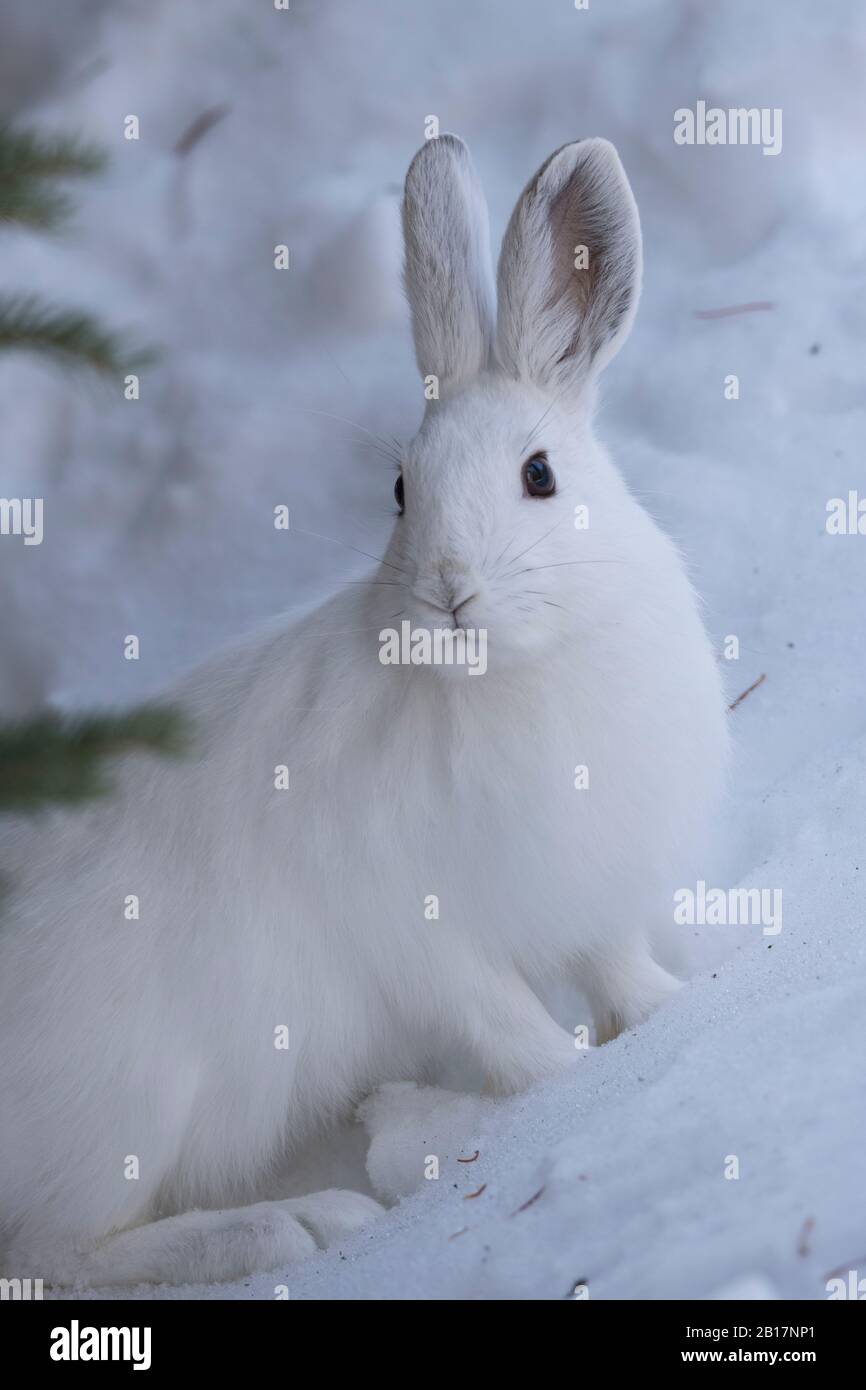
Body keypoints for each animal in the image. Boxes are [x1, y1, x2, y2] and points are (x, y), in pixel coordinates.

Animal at [0, 135, 728, 1288]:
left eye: (539, 474)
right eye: (399, 490)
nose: (447, 591)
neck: (502, 677)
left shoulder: (590, 890)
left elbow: (617, 971)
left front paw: (669, 1010)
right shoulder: (425, 942)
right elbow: (513, 1035)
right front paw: (557, 1087)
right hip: (133, 1096)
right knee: (54, 1251)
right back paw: (300, 1223)